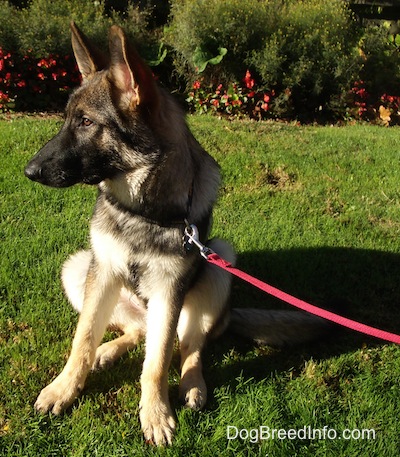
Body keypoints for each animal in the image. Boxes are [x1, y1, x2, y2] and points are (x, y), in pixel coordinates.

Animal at [24, 23, 328, 444]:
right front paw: (64, 388)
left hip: (218, 265)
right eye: (68, 119)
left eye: (86, 122)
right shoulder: (102, 272)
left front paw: (154, 413)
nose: (29, 171)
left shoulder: (170, 291)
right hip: (79, 269)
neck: (142, 210)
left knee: (187, 348)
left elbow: (157, 364)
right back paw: (109, 350)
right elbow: (82, 339)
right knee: (136, 330)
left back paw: (192, 385)